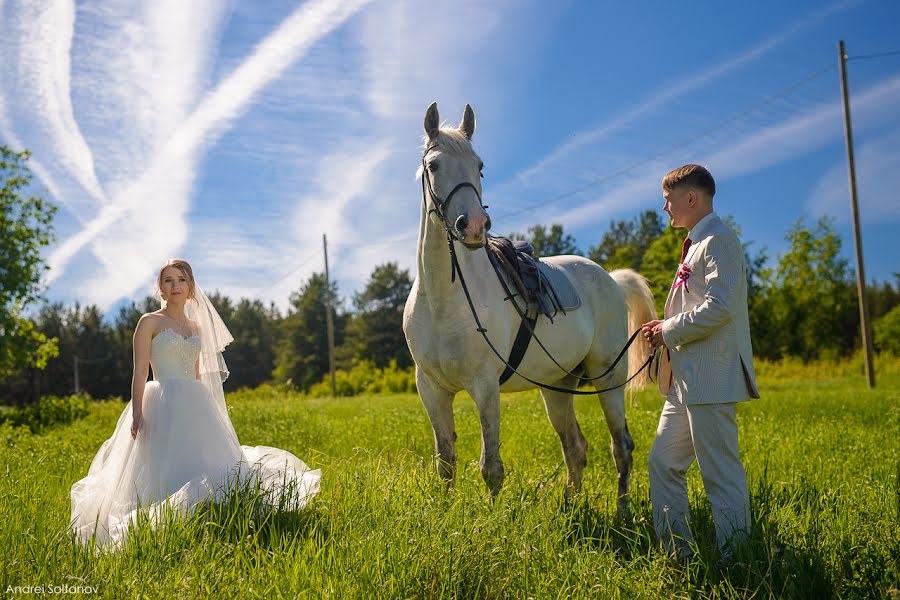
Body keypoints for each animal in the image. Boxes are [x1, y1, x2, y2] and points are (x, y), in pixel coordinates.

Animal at [406, 103, 652, 506]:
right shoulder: (431, 388)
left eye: (479, 166)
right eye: (435, 166)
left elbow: (490, 466)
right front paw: (444, 511)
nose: (474, 225)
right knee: (575, 447)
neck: (443, 300)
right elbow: (445, 462)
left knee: (622, 448)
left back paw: (622, 510)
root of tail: (611, 279)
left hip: (609, 380)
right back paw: (570, 506)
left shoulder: (485, 385)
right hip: (556, 388)